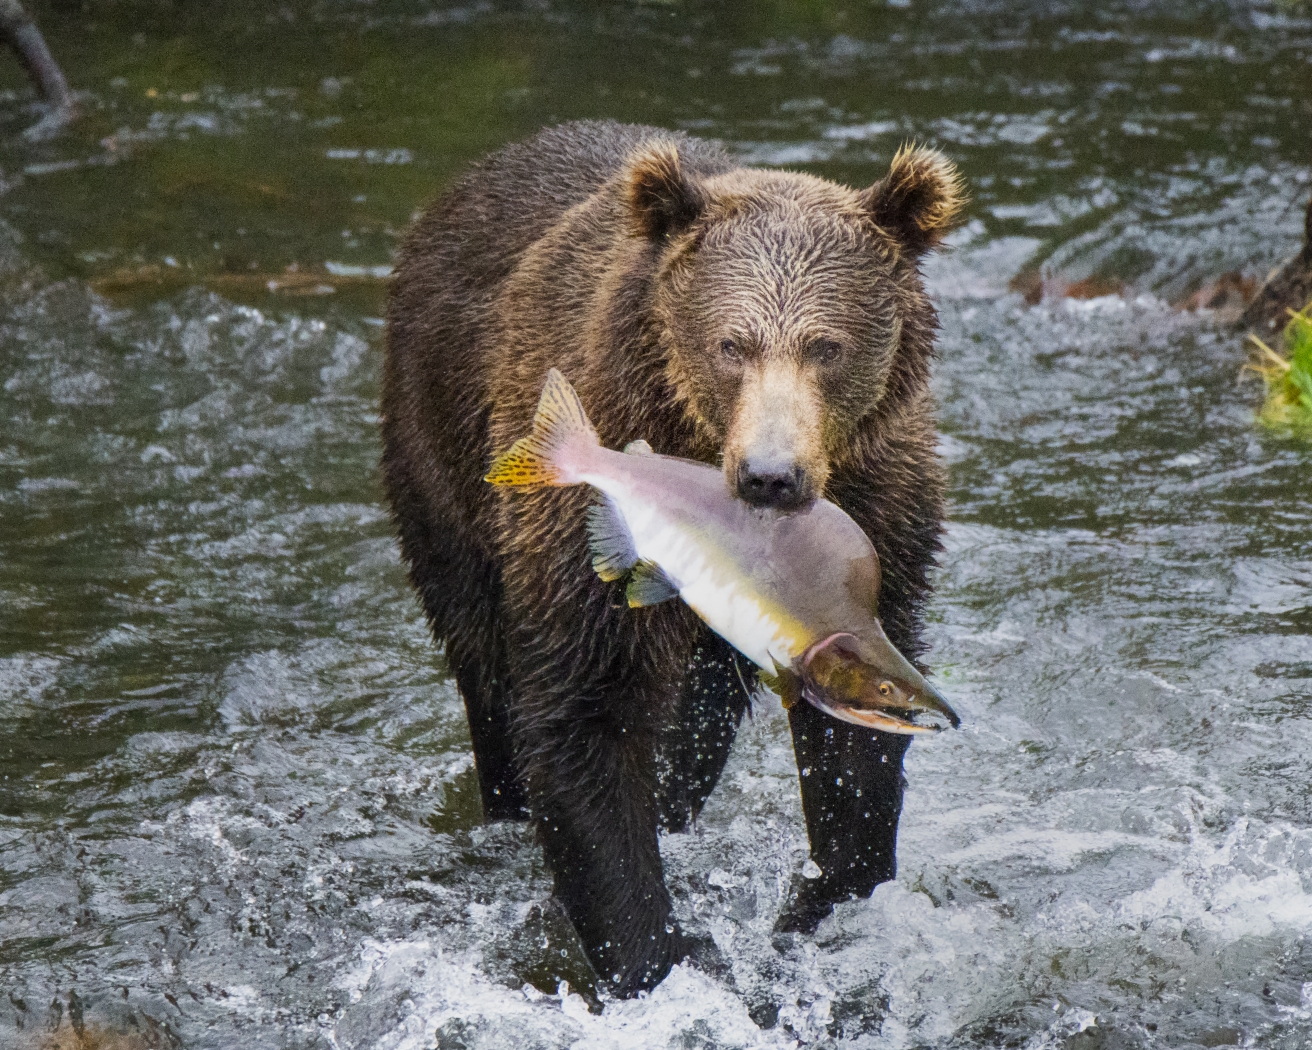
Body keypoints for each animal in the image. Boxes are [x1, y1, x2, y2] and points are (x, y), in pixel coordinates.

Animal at [380, 118, 965, 997]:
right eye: (731, 344)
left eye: (826, 346)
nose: (770, 475)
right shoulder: (584, 515)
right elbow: (587, 711)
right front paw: (660, 952)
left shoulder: (885, 516)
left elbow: (854, 744)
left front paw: (824, 900)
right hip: (442, 455)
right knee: (485, 659)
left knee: (699, 712)